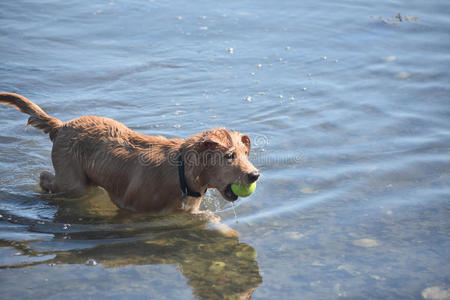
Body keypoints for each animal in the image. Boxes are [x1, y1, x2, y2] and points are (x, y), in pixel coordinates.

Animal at [0, 94, 260, 213]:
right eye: (230, 156)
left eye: (245, 154)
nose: (255, 175)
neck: (182, 172)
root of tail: (60, 126)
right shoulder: (130, 207)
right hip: (73, 182)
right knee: (46, 178)